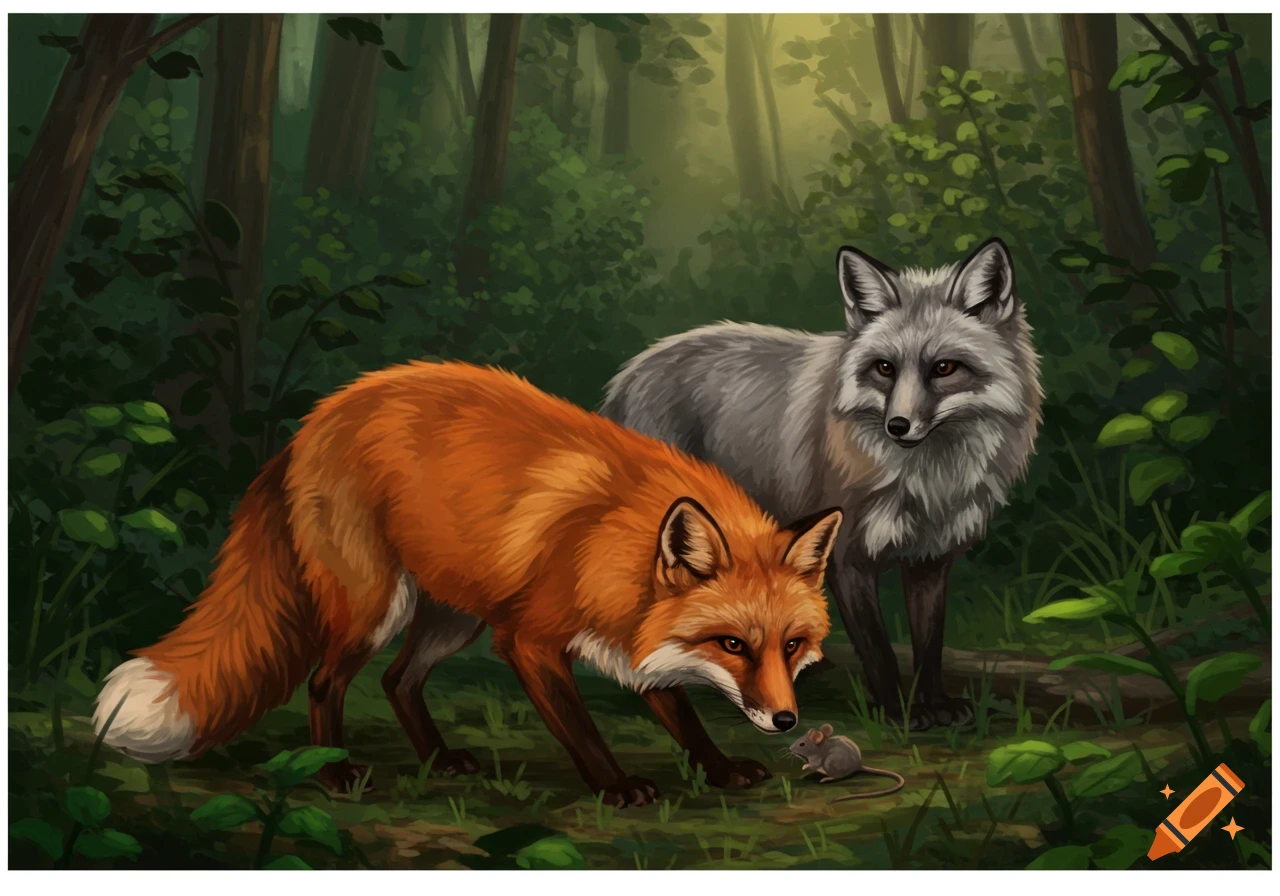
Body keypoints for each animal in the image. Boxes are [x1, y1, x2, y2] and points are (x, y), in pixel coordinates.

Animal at [94, 360, 843, 807]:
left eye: (792, 644)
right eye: (733, 645)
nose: (786, 721)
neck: (609, 542)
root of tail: (317, 417)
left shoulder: (635, 641)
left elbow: (681, 715)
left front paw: (718, 770)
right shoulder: (529, 642)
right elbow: (582, 728)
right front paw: (616, 785)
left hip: (453, 616)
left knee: (398, 681)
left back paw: (438, 759)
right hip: (378, 607)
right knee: (324, 681)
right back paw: (334, 771)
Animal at [601, 238, 1043, 729]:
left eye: (945, 368)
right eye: (885, 368)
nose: (897, 425)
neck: (928, 483)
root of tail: (632, 368)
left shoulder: (930, 558)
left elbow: (929, 644)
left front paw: (936, 704)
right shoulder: (847, 558)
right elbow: (878, 649)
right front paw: (899, 712)